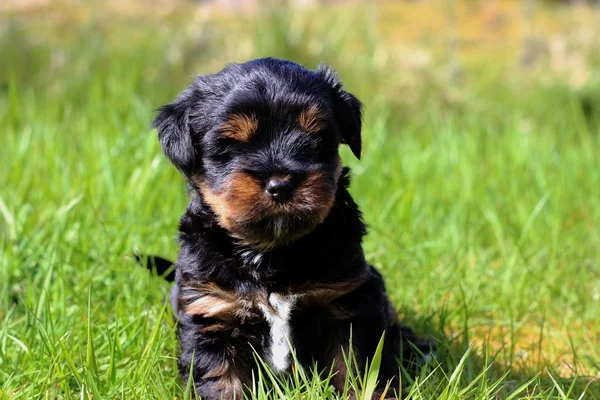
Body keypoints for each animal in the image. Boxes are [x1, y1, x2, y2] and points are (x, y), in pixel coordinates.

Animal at [152, 57, 428, 398]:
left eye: (315, 139)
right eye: (229, 145)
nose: (280, 184)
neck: (271, 252)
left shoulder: (349, 303)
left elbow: (359, 370)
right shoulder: (212, 311)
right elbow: (221, 380)